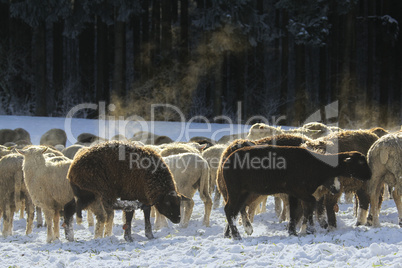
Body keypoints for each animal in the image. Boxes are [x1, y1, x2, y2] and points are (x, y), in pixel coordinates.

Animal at [220, 144, 370, 239]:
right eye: (360, 162)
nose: (370, 175)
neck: (318, 166)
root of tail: (225, 161)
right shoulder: (299, 190)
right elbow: (309, 204)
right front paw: (307, 229)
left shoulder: (293, 193)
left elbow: (294, 211)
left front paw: (293, 231)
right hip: (235, 189)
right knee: (229, 209)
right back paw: (236, 235)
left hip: (243, 192)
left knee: (234, 211)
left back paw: (229, 234)